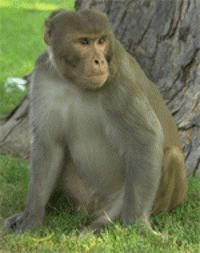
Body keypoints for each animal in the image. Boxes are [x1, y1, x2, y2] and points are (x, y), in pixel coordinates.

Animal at [4, 9, 188, 235]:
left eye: (101, 41)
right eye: (83, 42)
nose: (99, 61)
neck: (74, 83)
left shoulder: (119, 83)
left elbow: (145, 142)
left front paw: (137, 226)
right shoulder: (43, 75)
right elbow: (49, 145)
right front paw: (30, 220)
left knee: (172, 155)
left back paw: (100, 224)